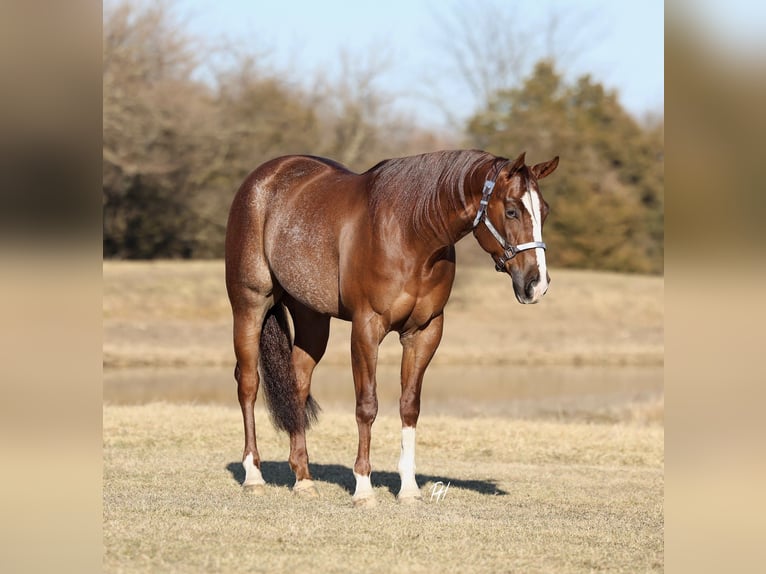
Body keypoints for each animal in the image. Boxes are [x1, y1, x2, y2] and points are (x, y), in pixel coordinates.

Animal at [225, 149, 558, 505]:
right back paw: (253, 474)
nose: (536, 284)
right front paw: (363, 487)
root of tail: (266, 174)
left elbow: (409, 406)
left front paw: (409, 489)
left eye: (544, 211)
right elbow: (367, 405)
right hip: (249, 305)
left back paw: (303, 477)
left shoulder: (425, 332)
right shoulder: (366, 328)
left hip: (312, 318)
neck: (410, 233)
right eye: (511, 210)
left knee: (297, 385)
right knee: (248, 384)